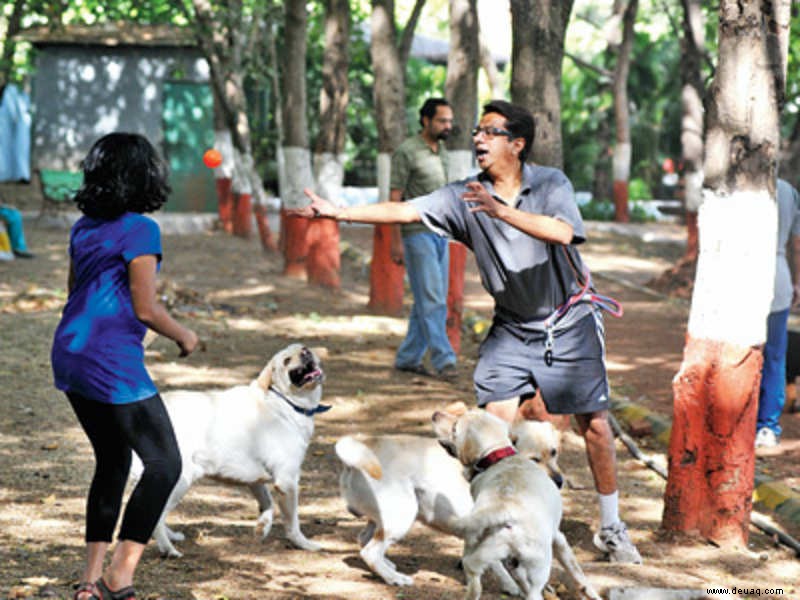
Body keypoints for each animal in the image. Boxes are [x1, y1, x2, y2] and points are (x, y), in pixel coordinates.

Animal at [131, 344, 328, 560]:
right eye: (286, 360)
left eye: (304, 349)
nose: (306, 352)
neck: (285, 402)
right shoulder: (287, 481)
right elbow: (293, 523)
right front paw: (304, 544)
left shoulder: (256, 480)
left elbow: (267, 504)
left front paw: (262, 527)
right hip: (180, 481)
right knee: (156, 516)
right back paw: (168, 549)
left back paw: (172, 537)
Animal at [332, 404, 564, 592]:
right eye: (535, 459)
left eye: (554, 452)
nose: (560, 481)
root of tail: (363, 446)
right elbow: (496, 564)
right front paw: (510, 585)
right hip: (402, 515)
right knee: (370, 551)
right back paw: (395, 578)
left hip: (382, 517)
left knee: (364, 539)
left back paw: (387, 566)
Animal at [432, 406, 600, 596]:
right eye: (534, 459)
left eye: (554, 452)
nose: (435, 414)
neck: (499, 456)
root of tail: (504, 508)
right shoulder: (559, 539)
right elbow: (578, 574)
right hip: (536, 565)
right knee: (529, 588)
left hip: (485, 553)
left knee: (477, 577)